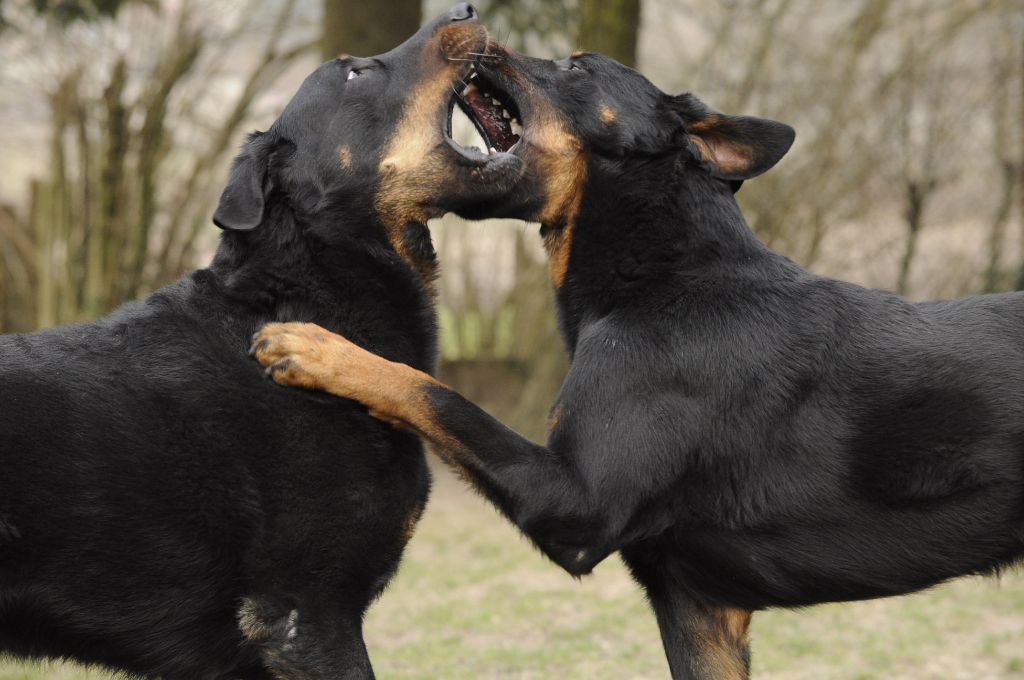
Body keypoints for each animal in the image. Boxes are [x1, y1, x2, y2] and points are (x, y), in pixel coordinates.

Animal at [251, 35, 1024, 680]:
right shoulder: (699, 610)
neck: (661, 274)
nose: (476, 30)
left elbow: (436, 394)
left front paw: (316, 348)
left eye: (575, 66)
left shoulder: (575, 503)